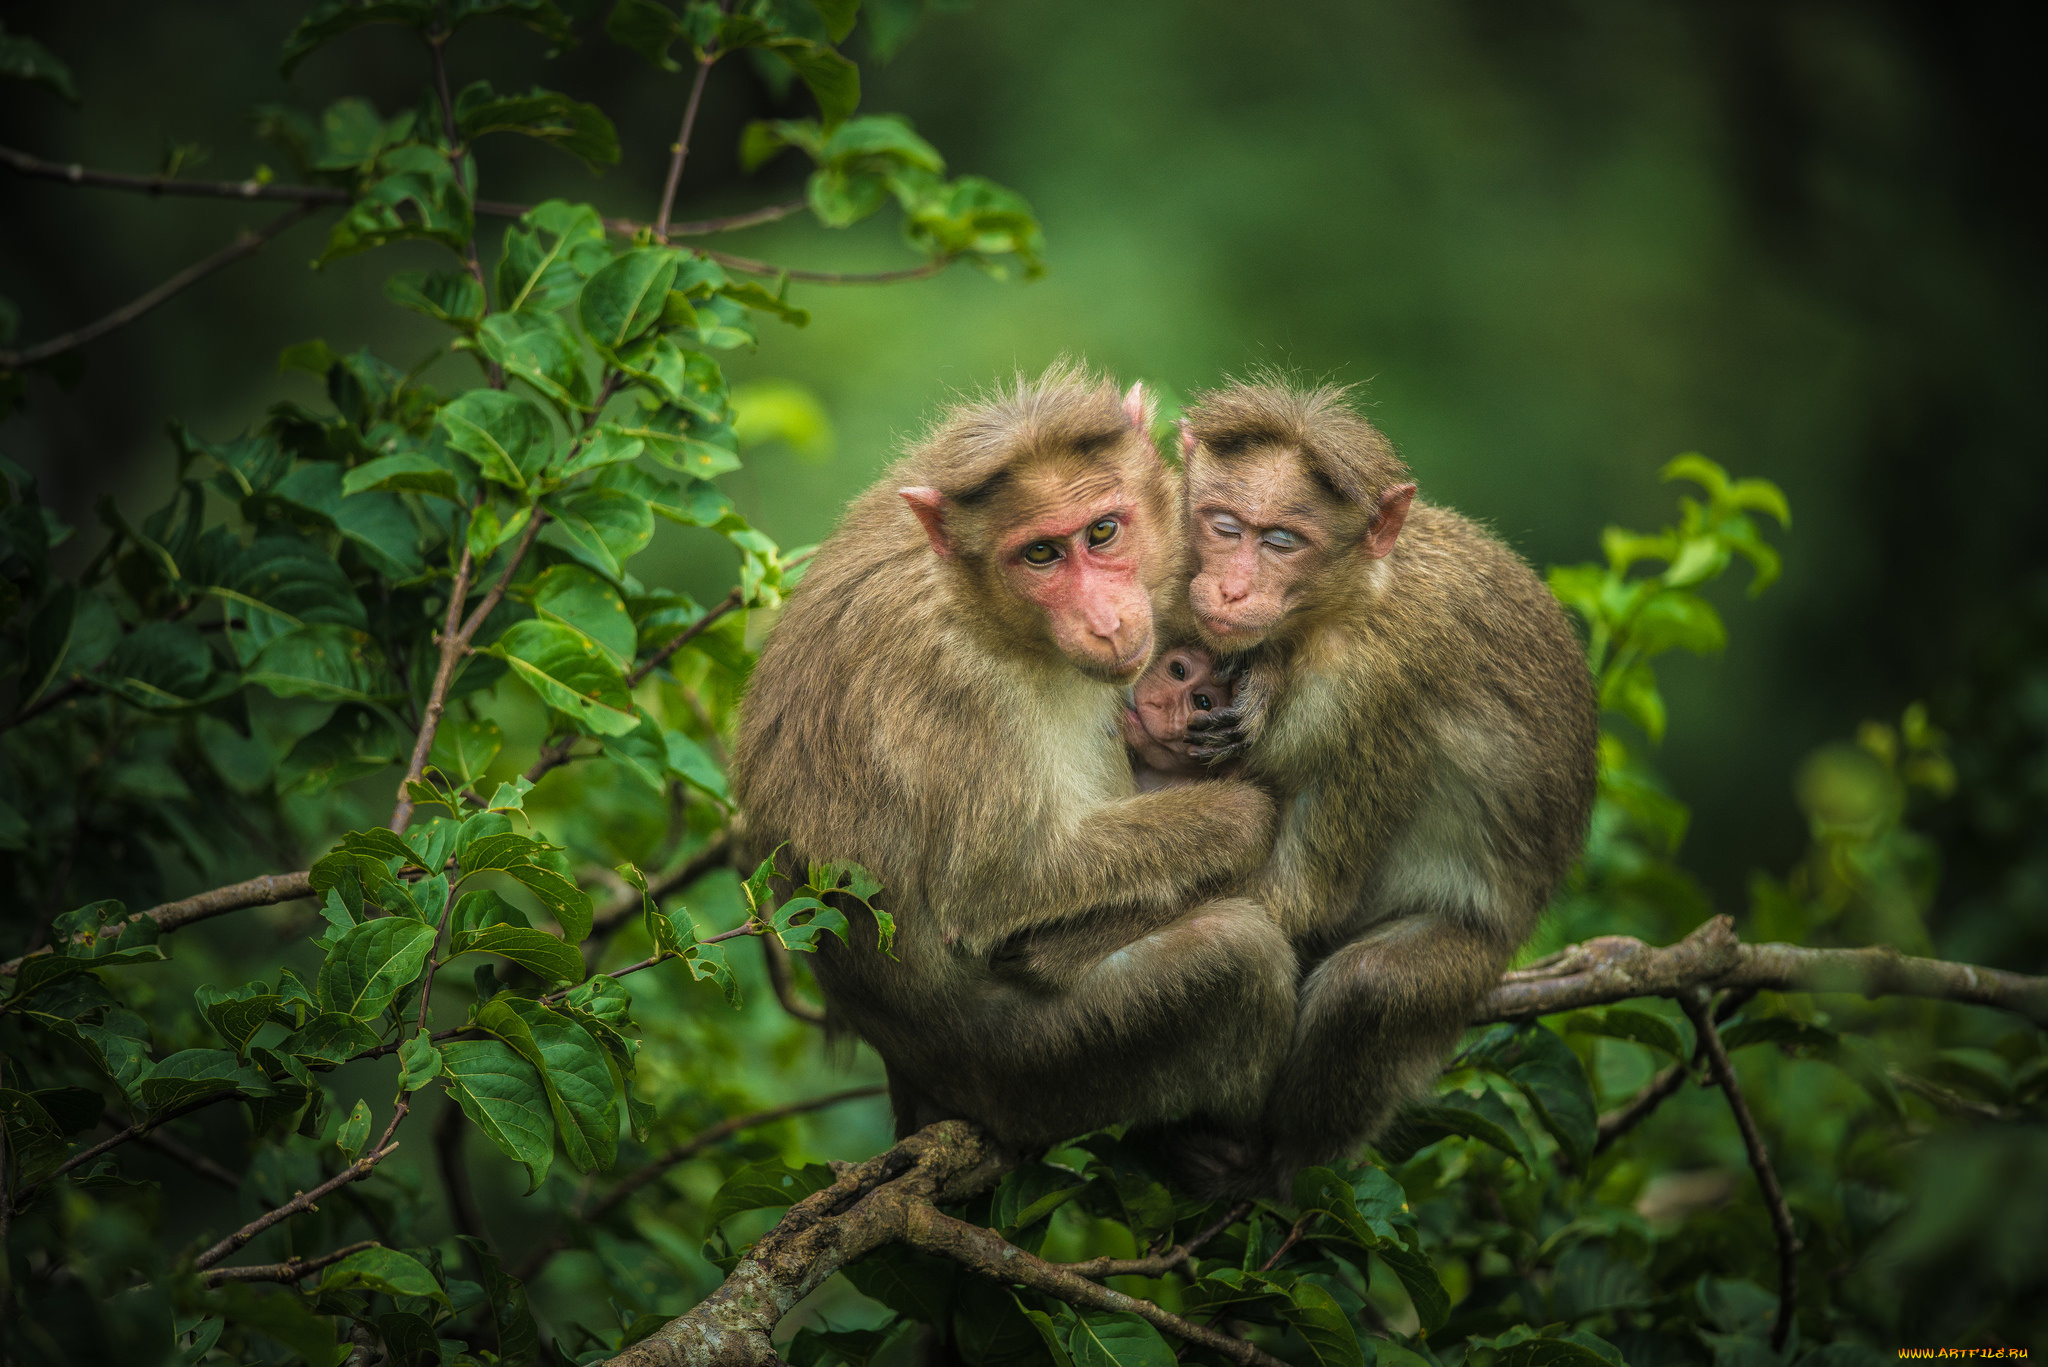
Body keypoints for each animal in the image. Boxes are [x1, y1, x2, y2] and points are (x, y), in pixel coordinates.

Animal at [1163, 377, 1605, 1196]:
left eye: (1283, 541)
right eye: (1225, 526)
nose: (1232, 589)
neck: (1334, 611)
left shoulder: (1373, 694)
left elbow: (1298, 898)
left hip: (1472, 958)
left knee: (1371, 987)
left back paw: (1281, 1163)